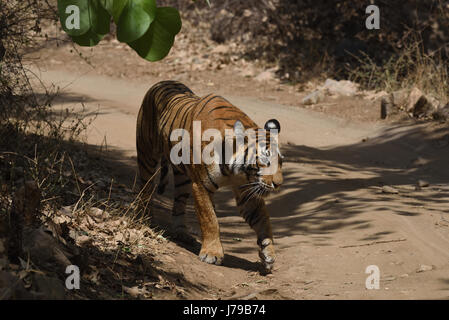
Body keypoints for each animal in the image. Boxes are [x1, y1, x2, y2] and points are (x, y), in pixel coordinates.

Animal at [136, 81, 282, 272]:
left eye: (281, 161)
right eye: (265, 159)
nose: (279, 184)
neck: (236, 170)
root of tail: (162, 82)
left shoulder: (245, 191)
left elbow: (263, 219)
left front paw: (268, 253)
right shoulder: (201, 185)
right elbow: (210, 219)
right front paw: (212, 254)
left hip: (182, 178)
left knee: (179, 204)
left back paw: (182, 233)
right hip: (147, 156)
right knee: (145, 189)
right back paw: (145, 220)